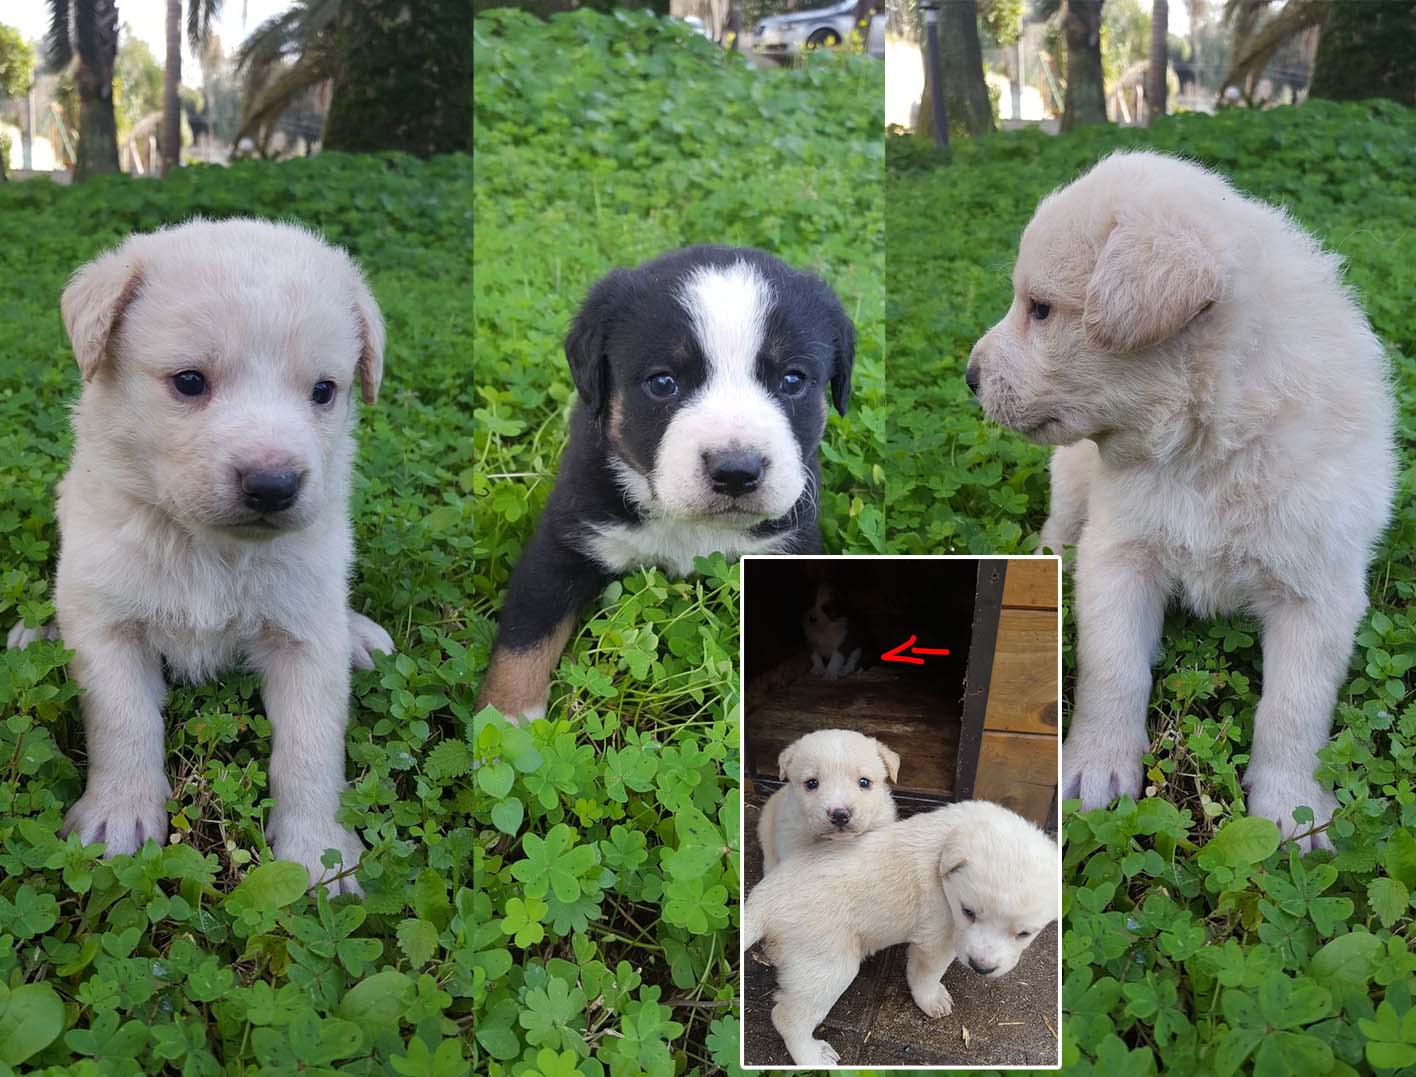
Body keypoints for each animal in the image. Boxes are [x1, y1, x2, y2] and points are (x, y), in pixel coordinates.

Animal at [8, 216, 396, 888]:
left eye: (324, 391)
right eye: (189, 381)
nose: (273, 484)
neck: (206, 548)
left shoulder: (306, 635)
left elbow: (311, 746)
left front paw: (318, 850)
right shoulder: (108, 625)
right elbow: (123, 721)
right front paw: (118, 816)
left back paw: (361, 634)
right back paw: (36, 634)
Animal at [478, 243, 849, 721]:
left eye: (792, 380)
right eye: (662, 382)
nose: (736, 471)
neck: (688, 526)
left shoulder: (789, 543)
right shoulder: (566, 540)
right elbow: (525, 640)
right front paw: (504, 721)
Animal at [747, 798, 1059, 1069]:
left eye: (1024, 933)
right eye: (968, 912)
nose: (981, 967)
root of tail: (762, 901)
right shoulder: (937, 939)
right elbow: (926, 974)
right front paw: (932, 1000)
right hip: (828, 967)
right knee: (788, 1017)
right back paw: (812, 1056)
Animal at [968, 149, 1399, 849]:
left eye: (1041, 309)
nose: (970, 377)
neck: (1206, 442)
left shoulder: (1319, 592)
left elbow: (1293, 708)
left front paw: (1292, 809)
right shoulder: (1117, 554)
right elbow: (1113, 667)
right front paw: (1096, 767)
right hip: (1071, 481)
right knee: (1058, 528)